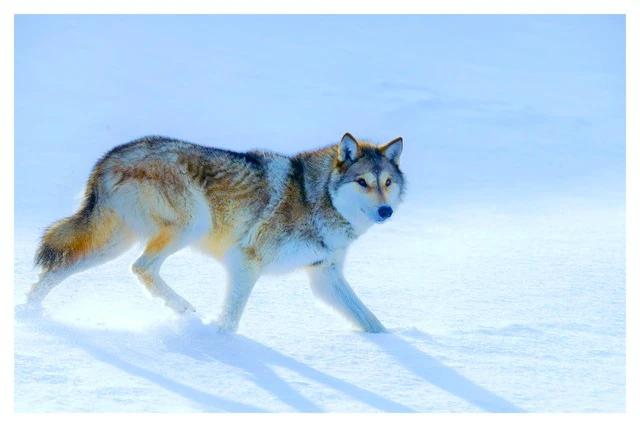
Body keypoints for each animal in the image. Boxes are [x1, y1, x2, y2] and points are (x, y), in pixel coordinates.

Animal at [27, 132, 404, 332]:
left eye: (387, 182)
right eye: (362, 182)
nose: (386, 211)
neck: (316, 198)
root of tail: (110, 157)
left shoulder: (325, 275)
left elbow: (370, 319)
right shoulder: (245, 260)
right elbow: (232, 315)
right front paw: (221, 344)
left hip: (113, 244)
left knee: (57, 269)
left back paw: (28, 314)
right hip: (192, 224)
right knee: (141, 267)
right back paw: (184, 311)